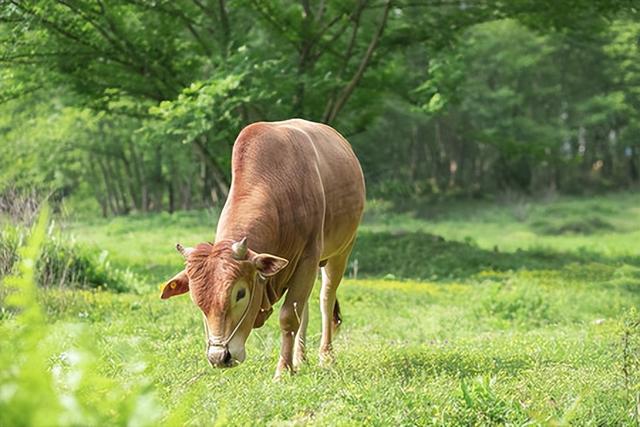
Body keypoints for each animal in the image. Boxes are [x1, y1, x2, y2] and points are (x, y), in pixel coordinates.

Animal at [160, 118, 364, 378]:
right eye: (197, 301)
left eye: (240, 293)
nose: (219, 357)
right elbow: (297, 312)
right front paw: (292, 364)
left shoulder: (308, 258)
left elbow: (288, 317)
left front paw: (283, 370)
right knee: (305, 307)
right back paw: (301, 358)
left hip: (341, 251)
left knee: (326, 299)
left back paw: (326, 356)